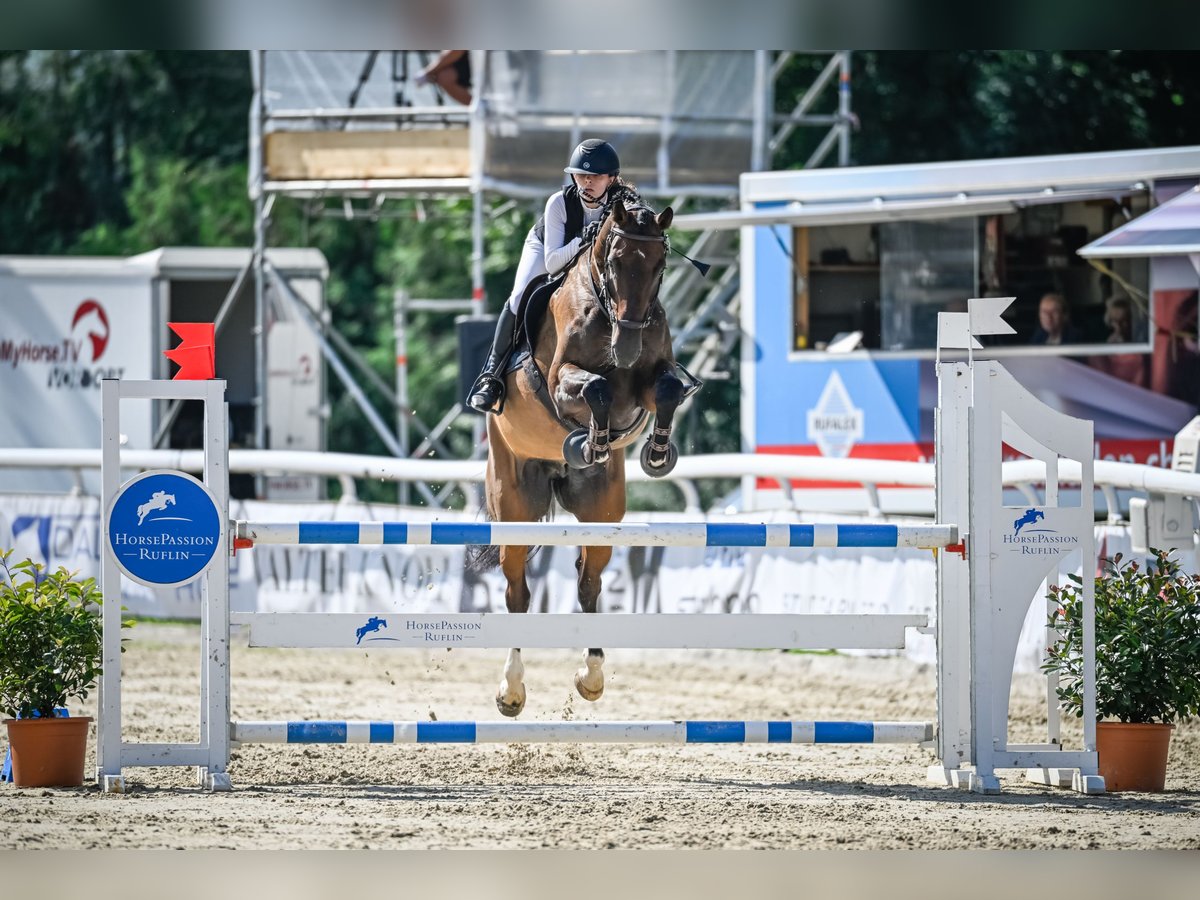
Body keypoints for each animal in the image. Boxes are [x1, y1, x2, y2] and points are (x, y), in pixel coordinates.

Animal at [477, 199, 700, 720]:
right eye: (615, 264)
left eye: (660, 266)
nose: (627, 347)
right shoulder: (562, 379)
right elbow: (595, 387)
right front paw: (590, 440)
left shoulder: (647, 381)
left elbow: (665, 388)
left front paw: (657, 453)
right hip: (514, 506)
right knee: (518, 591)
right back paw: (511, 691)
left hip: (602, 511)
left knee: (589, 582)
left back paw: (591, 676)